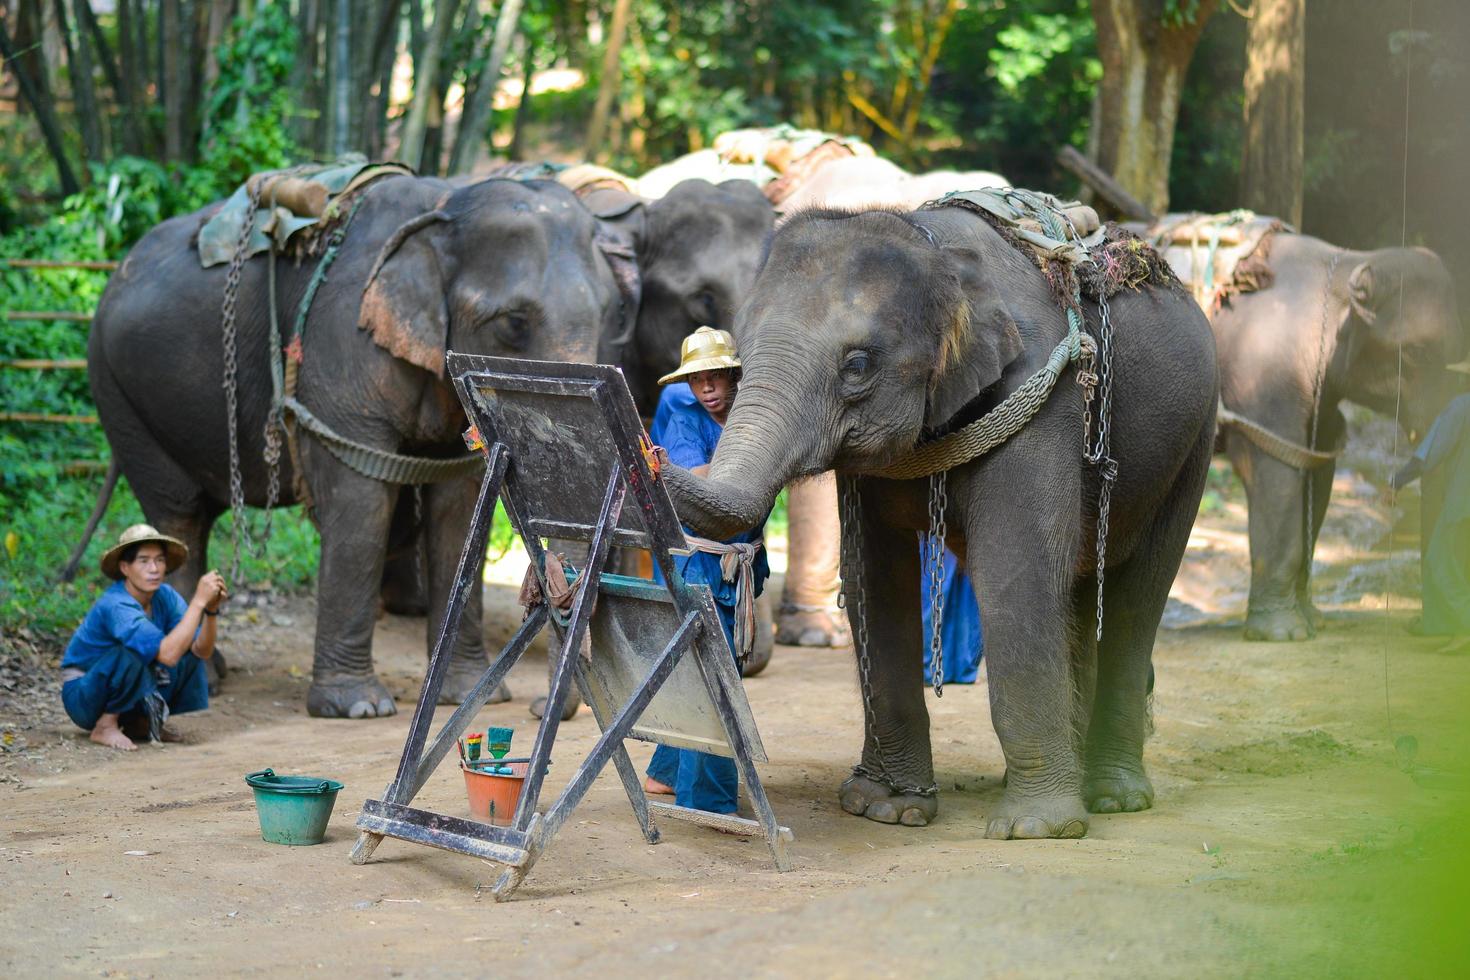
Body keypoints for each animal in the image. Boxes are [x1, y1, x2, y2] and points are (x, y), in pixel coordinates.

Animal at [85, 174, 626, 714]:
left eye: (610, 312)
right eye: (513, 321)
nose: (539, 708)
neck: (445, 201)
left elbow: (459, 502)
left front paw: (472, 696)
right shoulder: (343, 342)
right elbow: (361, 497)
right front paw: (358, 707)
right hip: (119, 394)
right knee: (179, 516)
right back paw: (202, 684)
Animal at [664, 202, 1217, 840]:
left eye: (858, 365)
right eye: (742, 358)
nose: (649, 455)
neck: (933, 246)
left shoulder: (1045, 399)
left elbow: (1017, 574)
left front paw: (1033, 830)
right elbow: (874, 584)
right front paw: (886, 808)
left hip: (1194, 442)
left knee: (1137, 599)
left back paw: (1112, 798)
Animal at [1152, 227, 1464, 646]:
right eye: (1415, 353)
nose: (1419, 627)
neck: (1348, 263)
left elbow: (1317, 468)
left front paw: (1314, 619)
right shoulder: (1267, 376)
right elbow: (1278, 471)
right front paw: (1284, 634)